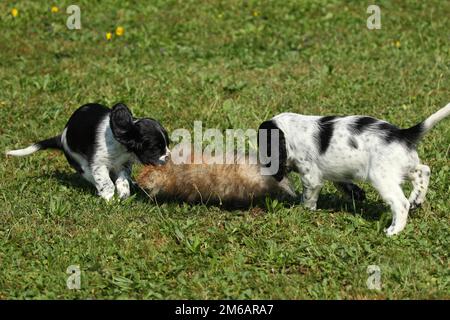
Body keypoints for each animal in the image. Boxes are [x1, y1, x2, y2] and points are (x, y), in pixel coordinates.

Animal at [5, 102, 171, 200]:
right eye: (155, 148)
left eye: (167, 144)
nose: (169, 157)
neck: (120, 145)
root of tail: (62, 136)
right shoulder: (98, 164)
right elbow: (106, 182)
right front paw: (109, 198)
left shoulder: (123, 164)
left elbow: (122, 180)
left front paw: (124, 194)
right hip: (80, 162)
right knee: (89, 175)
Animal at [258, 102, 450, 235]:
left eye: (264, 147)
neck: (289, 132)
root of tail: (402, 134)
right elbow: (343, 183)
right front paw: (357, 194)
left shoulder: (310, 177)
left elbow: (308, 198)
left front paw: (304, 212)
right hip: (403, 167)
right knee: (424, 170)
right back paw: (416, 200)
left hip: (382, 176)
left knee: (401, 203)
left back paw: (393, 230)